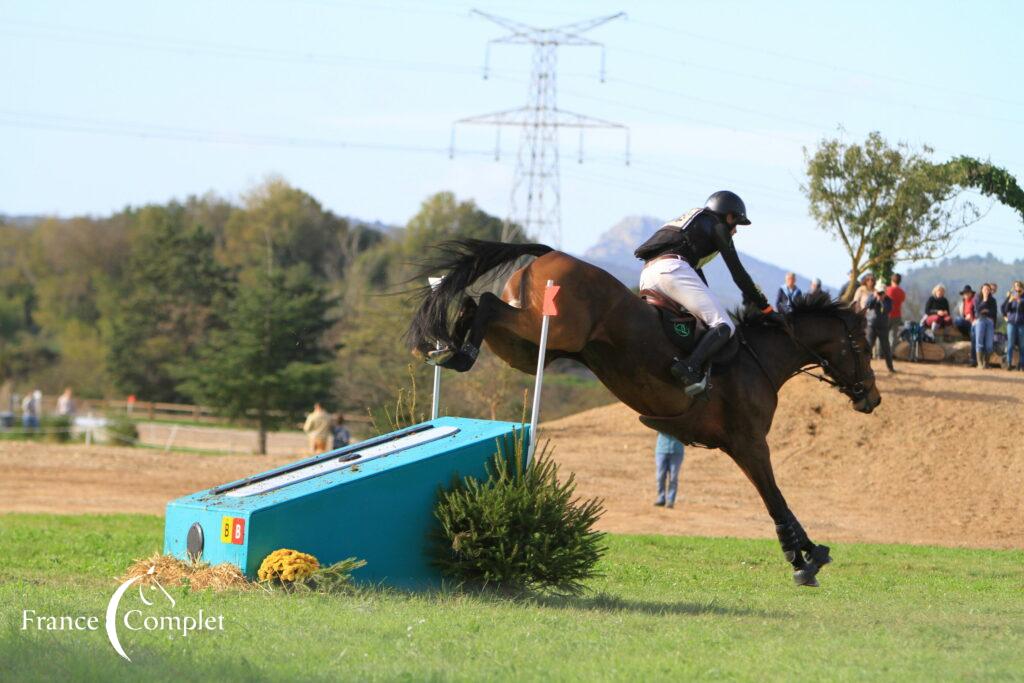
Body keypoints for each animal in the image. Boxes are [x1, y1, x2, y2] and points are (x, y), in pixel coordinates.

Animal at [405, 237, 880, 585]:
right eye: (862, 345)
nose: (872, 398)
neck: (759, 360)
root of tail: (551, 253)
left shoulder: (740, 446)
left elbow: (777, 499)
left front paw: (807, 552)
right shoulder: (748, 443)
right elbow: (775, 498)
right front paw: (804, 558)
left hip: (529, 348)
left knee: (477, 305)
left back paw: (448, 348)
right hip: (549, 329)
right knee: (483, 302)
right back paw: (452, 351)